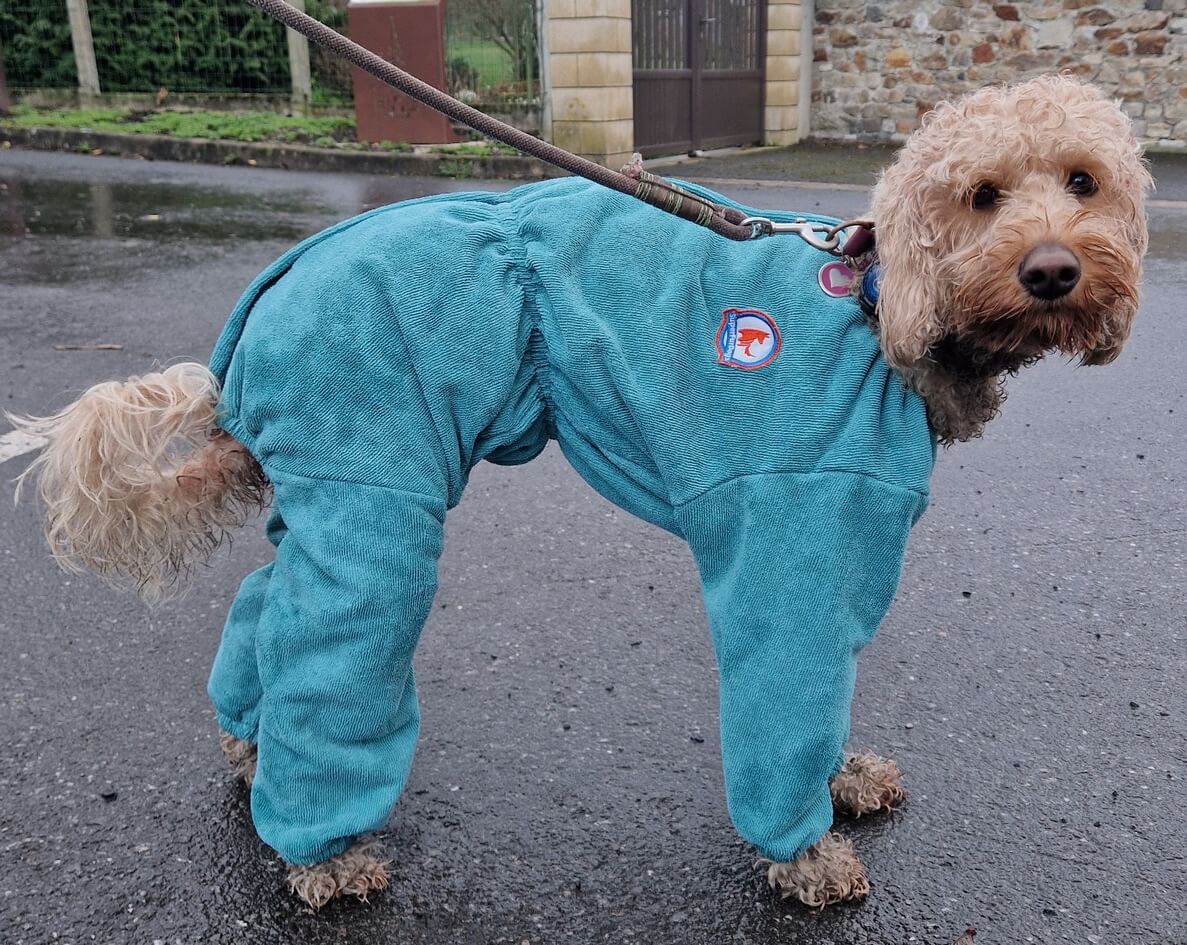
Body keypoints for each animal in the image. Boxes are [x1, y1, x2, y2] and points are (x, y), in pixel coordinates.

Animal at [9, 77, 1149, 911]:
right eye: (981, 195)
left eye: (1082, 181)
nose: (1053, 271)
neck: (877, 303)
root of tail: (257, 313)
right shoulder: (797, 519)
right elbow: (789, 688)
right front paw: (803, 851)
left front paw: (841, 780)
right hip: (375, 497)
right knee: (325, 659)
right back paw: (319, 851)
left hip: (325, 491)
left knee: (267, 613)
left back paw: (249, 751)